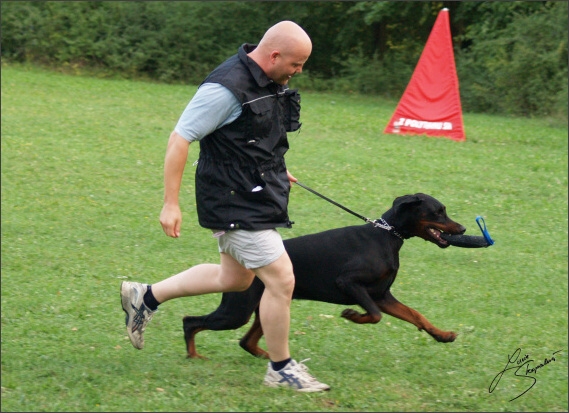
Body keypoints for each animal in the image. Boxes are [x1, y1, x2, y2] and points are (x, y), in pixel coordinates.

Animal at [182, 192, 466, 358]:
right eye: (438, 211)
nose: (462, 228)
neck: (386, 236)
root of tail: (243, 267)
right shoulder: (350, 283)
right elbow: (375, 315)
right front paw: (352, 315)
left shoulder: (382, 295)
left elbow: (416, 315)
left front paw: (443, 335)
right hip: (237, 310)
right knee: (190, 321)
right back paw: (195, 356)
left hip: (265, 305)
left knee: (246, 342)